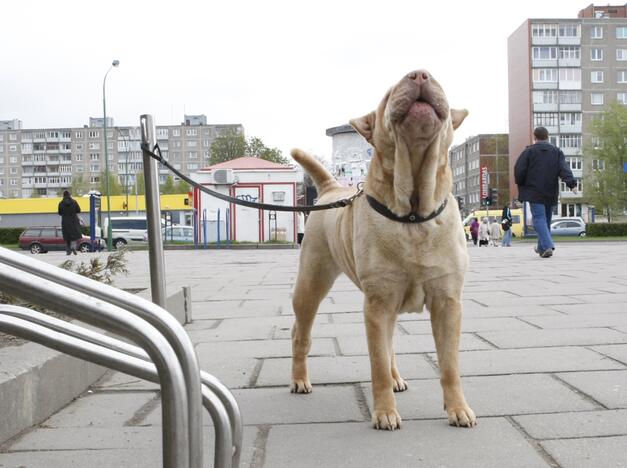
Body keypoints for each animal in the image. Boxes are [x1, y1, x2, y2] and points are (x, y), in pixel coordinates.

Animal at [290, 69, 476, 432]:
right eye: (390, 93)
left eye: (436, 80)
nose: (419, 74)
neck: (414, 213)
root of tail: (331, 188)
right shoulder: (377, 303)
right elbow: (376, 362)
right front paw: (385, 412)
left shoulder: (448, 302)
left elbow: (449, 364)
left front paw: (458, 408)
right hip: (311, 282)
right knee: (300, 332)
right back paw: (299, 379)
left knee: (389, 344)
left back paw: (396, 378)